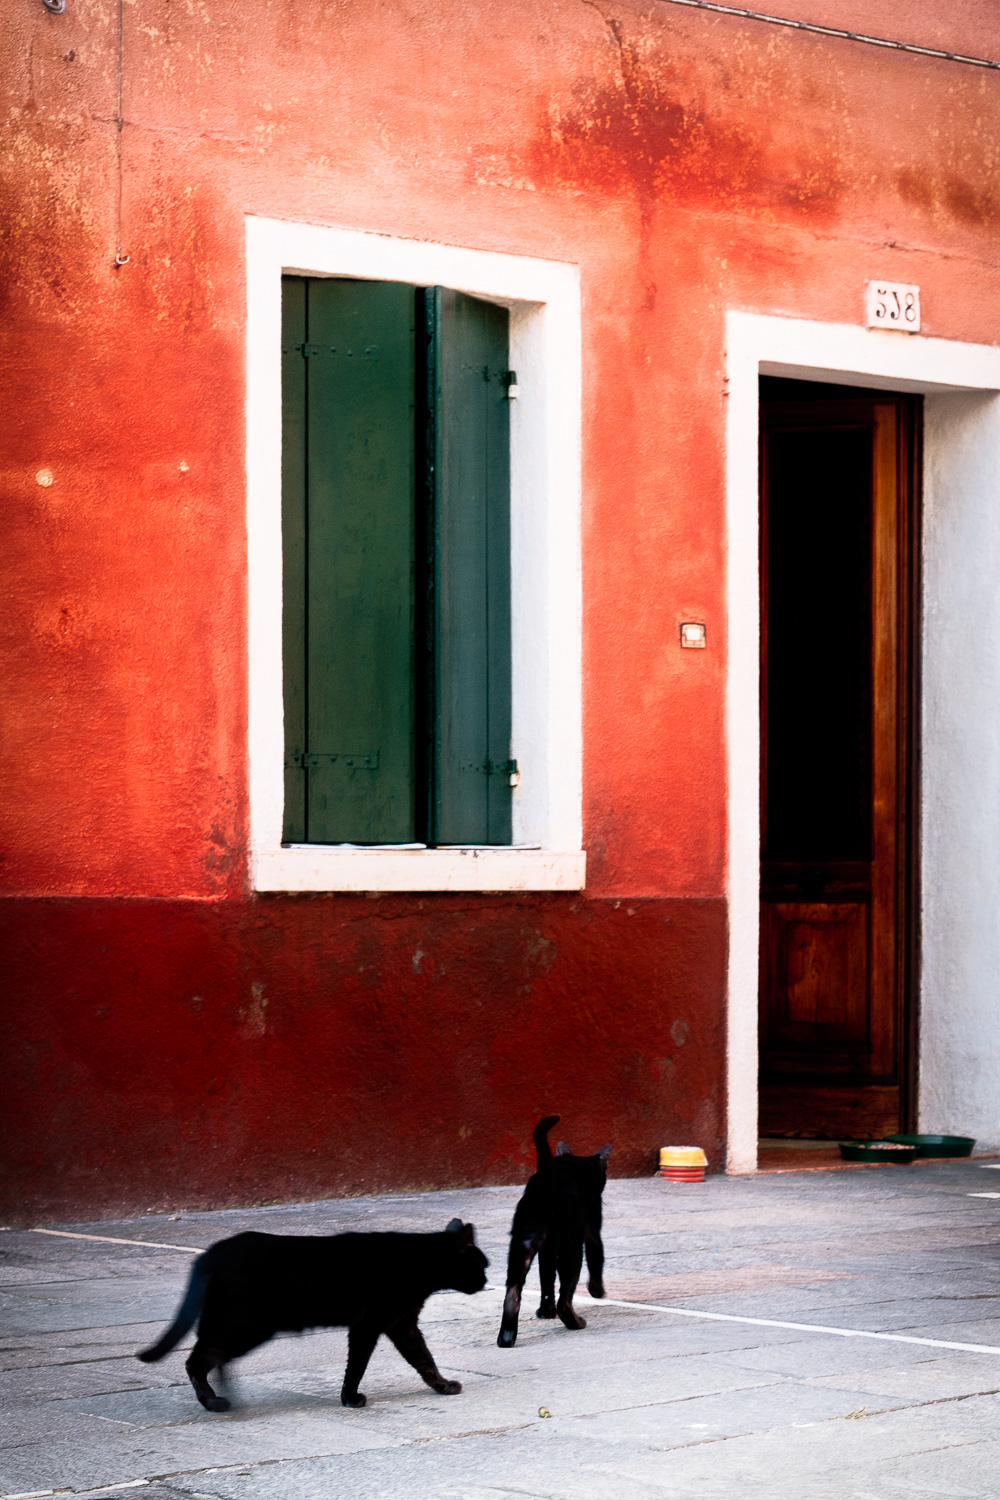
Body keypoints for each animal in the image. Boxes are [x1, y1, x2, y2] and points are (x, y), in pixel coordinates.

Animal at [137, 1212, 488, 1410]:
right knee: (197, 1359)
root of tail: (213, 1252)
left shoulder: (402, 1324)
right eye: (481, 1266)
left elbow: (425, 1359)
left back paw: (226, 1394)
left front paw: (442, 1386)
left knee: (212, 1356)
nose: (486, 1281)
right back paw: (213, 1403)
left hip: (239, 1327)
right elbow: (357, 1365)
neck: (419, 1263)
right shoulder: (368, 1324)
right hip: (245, 1325)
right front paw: (350, 1399)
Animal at [497, 1116, 611, 1350]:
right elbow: (596, 1257)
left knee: (513, 1292)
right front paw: (597, 1291)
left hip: (522, 1245)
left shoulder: (546, 1249)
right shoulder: (592, 1226)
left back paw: (506, 1337)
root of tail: (547, 1181)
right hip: (572, 1248)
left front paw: (545, 1312)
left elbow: (546, 1279)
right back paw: (576, 1323)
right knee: (565, 1299)